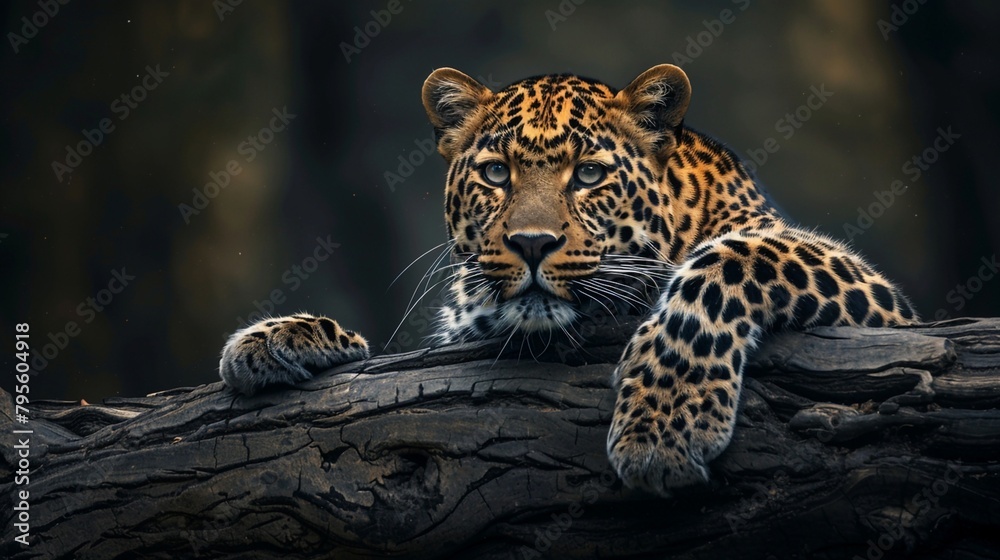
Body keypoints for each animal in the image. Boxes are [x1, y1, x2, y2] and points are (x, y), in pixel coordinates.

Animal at [219, 64, 917, 496]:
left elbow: (725, 263)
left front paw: (662, 429)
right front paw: (278, 339)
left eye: (587, 175)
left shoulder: (883, 308)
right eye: (496, 173)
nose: (532, 244)